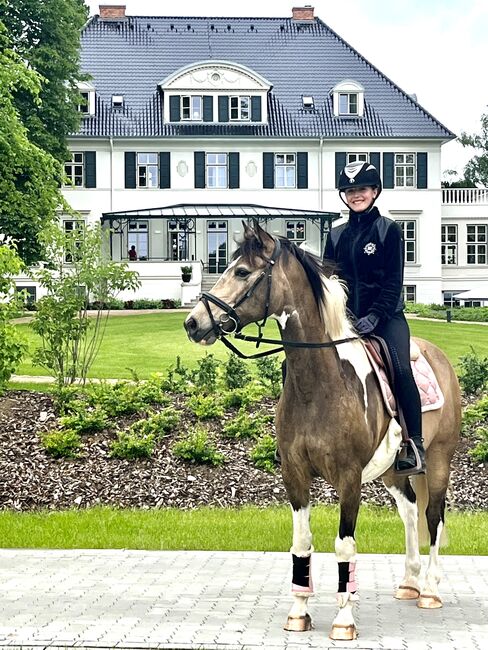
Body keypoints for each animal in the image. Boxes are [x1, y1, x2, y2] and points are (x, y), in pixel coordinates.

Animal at [184, 223, 462, 636]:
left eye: (242, 272)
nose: (193, 322)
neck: (321, 384)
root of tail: (439, 357)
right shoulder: (295, 474)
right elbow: (301, 544)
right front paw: (298, 612)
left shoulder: (349, 479)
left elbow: (345, 547)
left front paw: (344, 619)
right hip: (394, 472)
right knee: (411, 511)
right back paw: (410, 583)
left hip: (440, 460)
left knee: (433, 517)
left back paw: (428, 589)